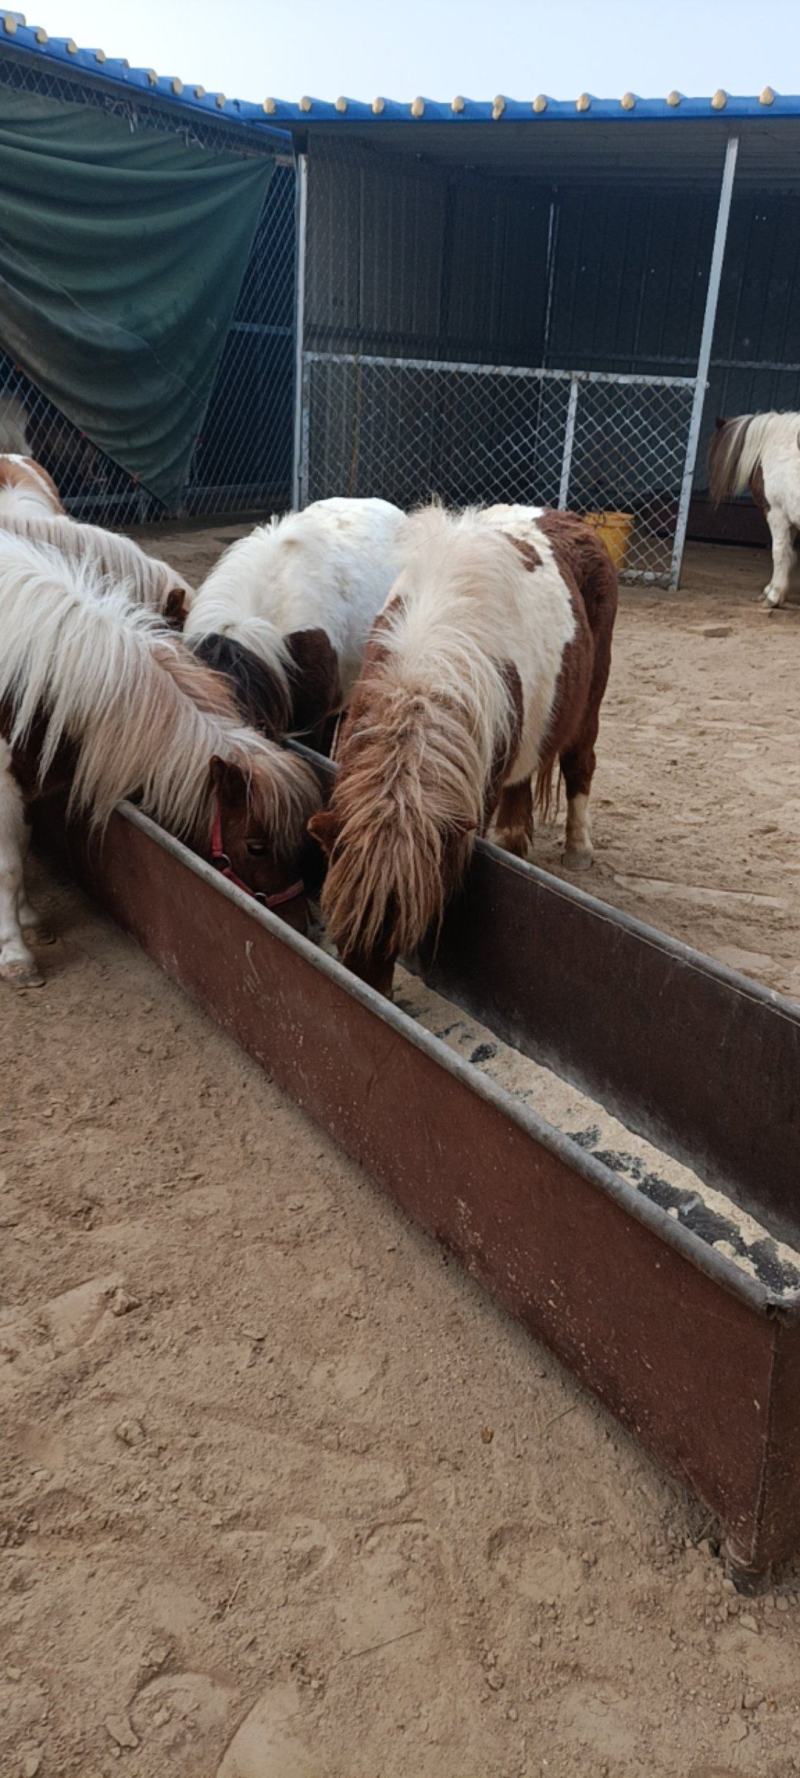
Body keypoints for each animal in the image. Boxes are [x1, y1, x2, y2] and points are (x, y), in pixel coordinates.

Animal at [0, 535, 321, 987]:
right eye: (256, 847)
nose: (297, 924)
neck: (42, 674)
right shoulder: (5, 784)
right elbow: (10, 866)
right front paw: (15, 954)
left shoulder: (24, 780)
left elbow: (24, 847)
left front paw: (28, 917)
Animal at [308, 503, 618, 997]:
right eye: (339, 920)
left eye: (403, 933)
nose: (369, 990)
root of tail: (569, 518)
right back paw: (515, 843)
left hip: (590, 703)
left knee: (579, 766)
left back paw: (577, 848)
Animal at [709, 412, 800, 609]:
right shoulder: (791, 523)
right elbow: (789, 555)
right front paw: (772, 590)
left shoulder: (776, 514)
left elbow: (779, 553)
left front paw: (773, 596)